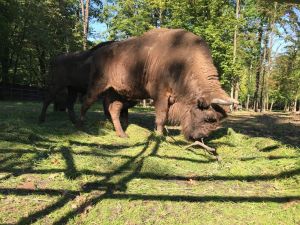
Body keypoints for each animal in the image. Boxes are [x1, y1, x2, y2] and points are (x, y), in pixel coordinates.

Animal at [79, 28, 237, 141]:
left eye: (217, 122)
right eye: (208, 117)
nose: (197, 138)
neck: (183, 64)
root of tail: (97, 53)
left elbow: (163, 116)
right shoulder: (160, 95)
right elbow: (161, 116)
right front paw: (159, 136)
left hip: (119, 93)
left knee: (114, 109)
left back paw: (122, 134)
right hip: (98, 86)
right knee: (87, 101)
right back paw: (81, 124)